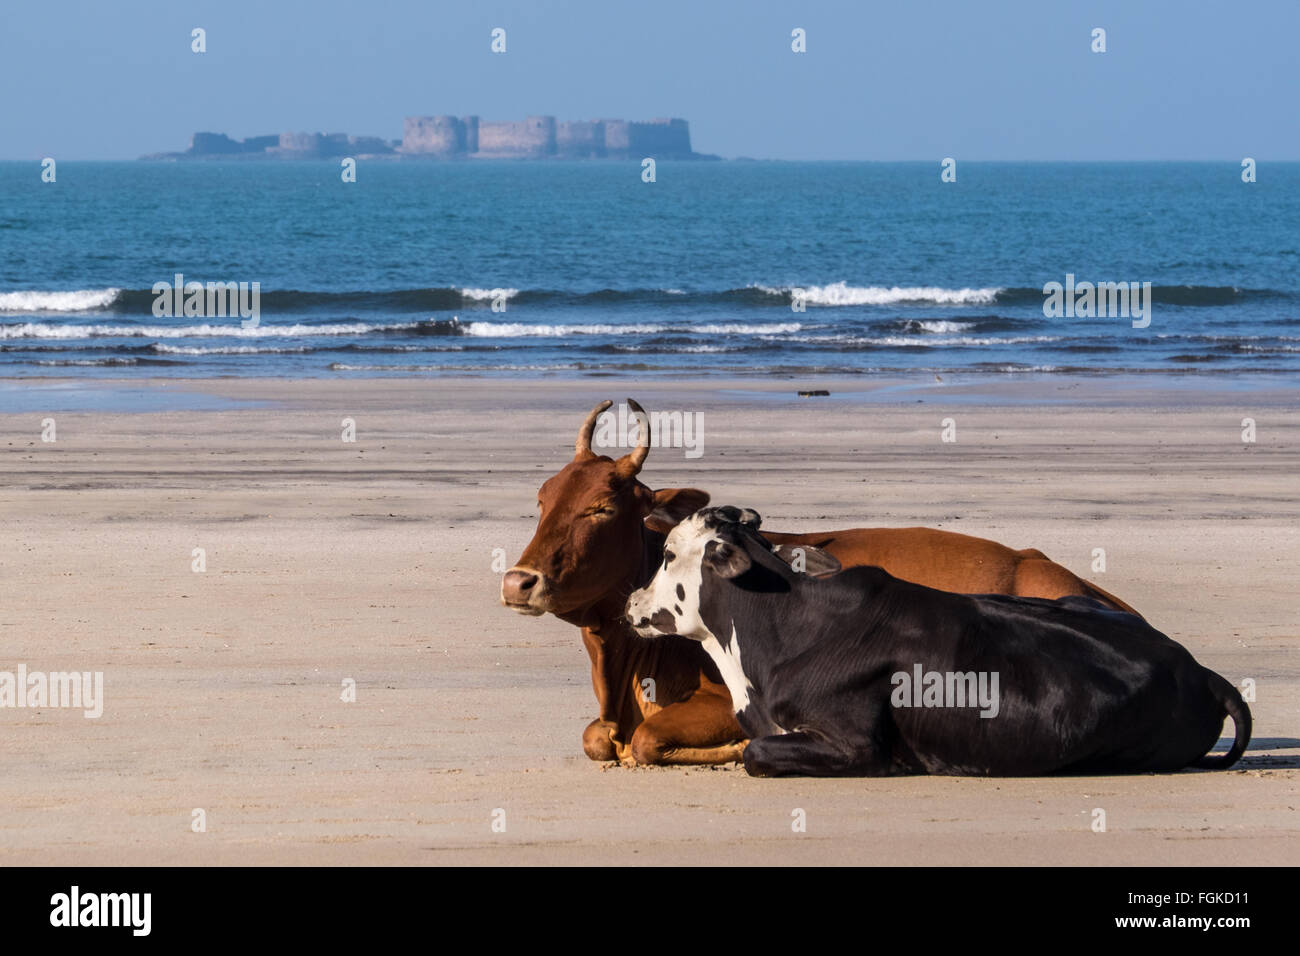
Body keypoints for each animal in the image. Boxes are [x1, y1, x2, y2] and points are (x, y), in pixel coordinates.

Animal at [496, 400, 1138, 764]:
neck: (621, 663)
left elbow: (647, 742)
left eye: (602, 507)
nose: (518, 581)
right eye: (542, 499)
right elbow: (597, 737)